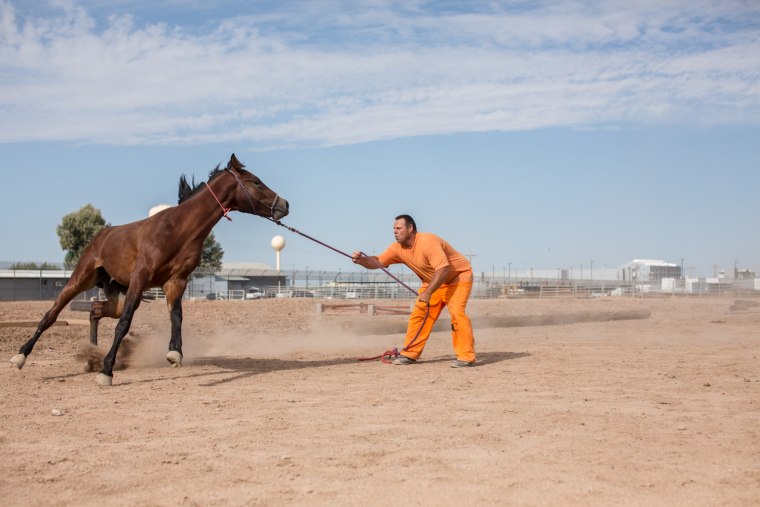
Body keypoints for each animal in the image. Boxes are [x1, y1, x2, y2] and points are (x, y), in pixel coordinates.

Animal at [8, 153, 288, 386]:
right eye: (256, 182)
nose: (284, 205)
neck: (176, 229)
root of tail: (100, 236)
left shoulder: (176, 282)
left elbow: (176, 316)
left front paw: (175, 353)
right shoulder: (140, 278)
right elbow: (124, 323)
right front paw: (106, 372)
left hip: (113, 291)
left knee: (95, 310)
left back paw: (91, 357)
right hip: (81, 279)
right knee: (51, 315)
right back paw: (21, 357)